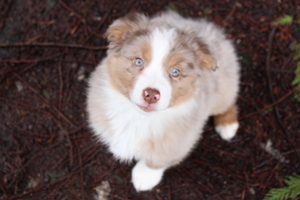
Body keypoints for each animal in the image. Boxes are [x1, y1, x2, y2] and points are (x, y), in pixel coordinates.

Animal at [86, 10, 239, 192]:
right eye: (138, 61)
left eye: (175, 72)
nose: (151, 94)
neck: (140, 118)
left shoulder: (178, 142)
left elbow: (157, 161)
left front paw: (144, 177)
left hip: (222, 89)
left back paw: (227, 126)